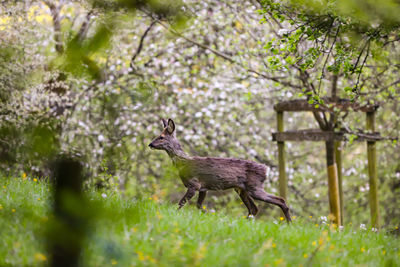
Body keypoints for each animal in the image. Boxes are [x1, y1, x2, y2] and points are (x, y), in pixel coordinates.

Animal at [148, 118, 292, 223]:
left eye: (161, 137)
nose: (150, 144)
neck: (183, 163)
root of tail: (266, 169)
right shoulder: (203, 188)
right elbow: (198, 206)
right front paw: (208, 215)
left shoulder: (194, 184)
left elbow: (181, 203)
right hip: (242, 189)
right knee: (254, 209)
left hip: (254, 187)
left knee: (280, 200)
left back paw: (289, 223)